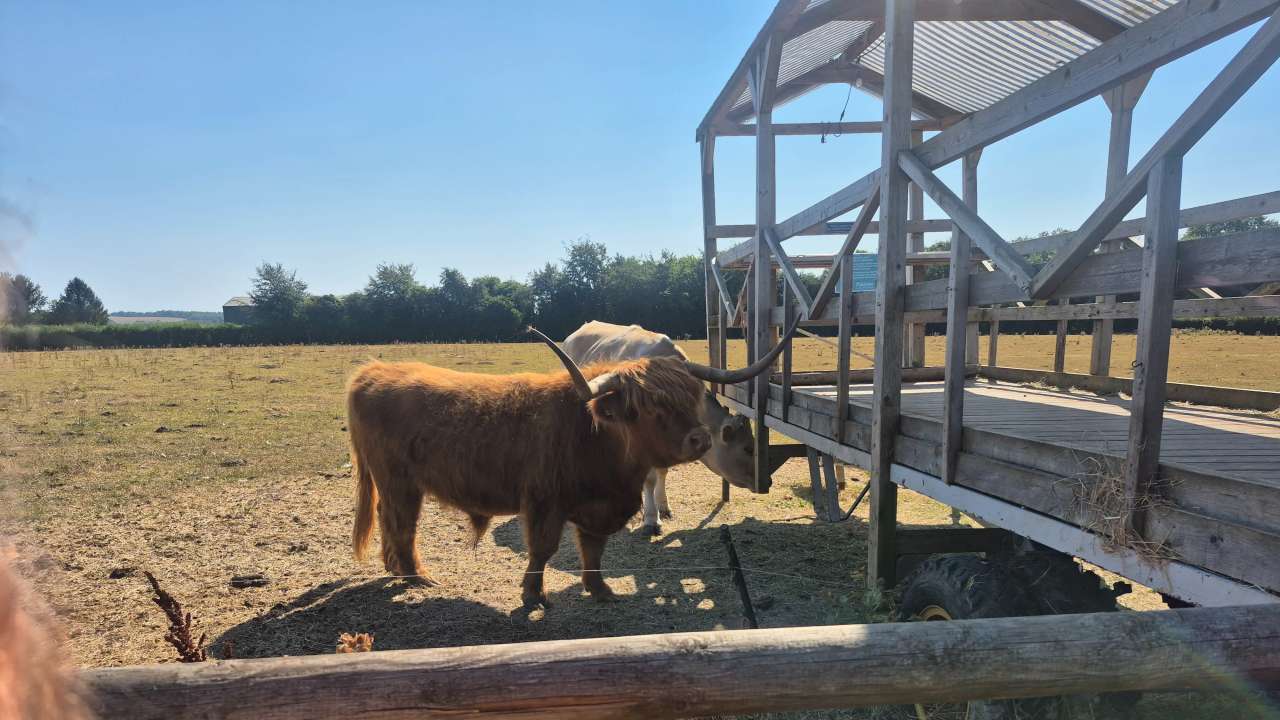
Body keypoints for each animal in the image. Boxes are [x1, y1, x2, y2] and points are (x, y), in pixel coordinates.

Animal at [563, 321, 760, 536]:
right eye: (748, 449)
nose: (764, 482)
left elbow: (662, 472)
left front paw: (663, 507)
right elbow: (649, 480)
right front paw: (651, 518)